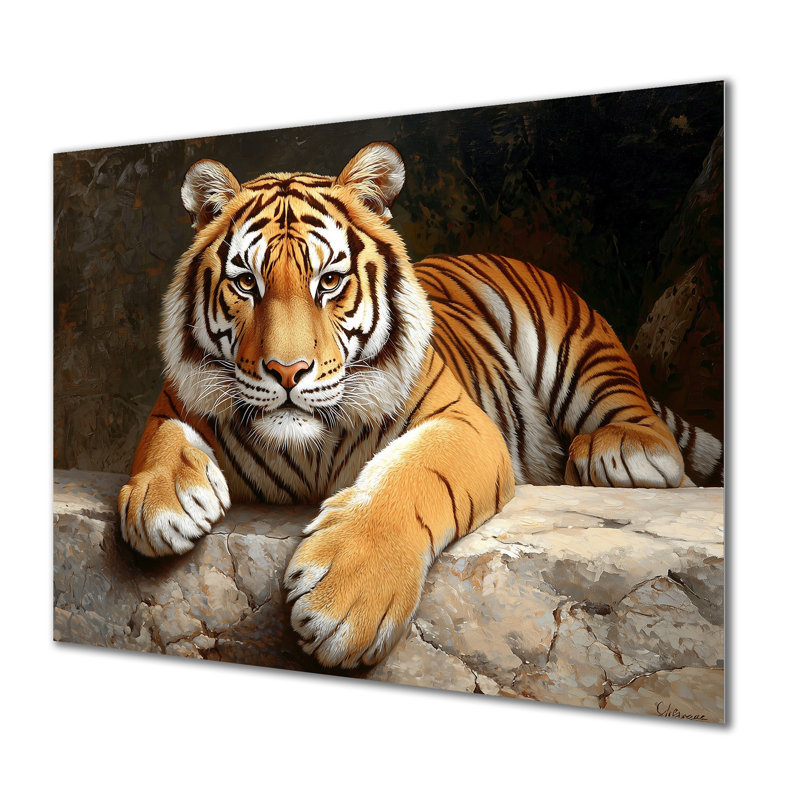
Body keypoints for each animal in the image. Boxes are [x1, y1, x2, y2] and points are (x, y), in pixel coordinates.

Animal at [119, 142, 724, 669]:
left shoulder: (461, 422)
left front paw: (344, 603)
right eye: (246, 284)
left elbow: (410, 477)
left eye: (329, 281)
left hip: (577, 350)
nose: (287, 371)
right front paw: (160, 503)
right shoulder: (176, 396)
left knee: (647, 428)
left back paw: (617, 453)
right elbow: (159, 434)